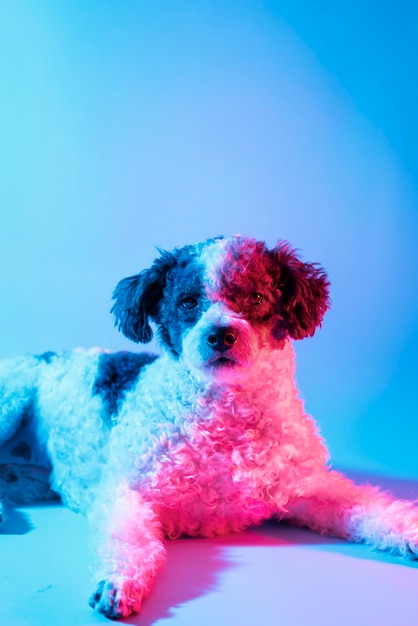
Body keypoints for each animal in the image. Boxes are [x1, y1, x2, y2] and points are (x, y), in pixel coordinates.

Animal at [0, 234, 418, 616]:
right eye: (188, 301)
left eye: (256, 298)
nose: (220, 334)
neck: (226, 423)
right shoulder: (127, 491)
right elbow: (130, 539)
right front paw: (119, 579)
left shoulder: (307, 487)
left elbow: (368, 504)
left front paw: (409, 530)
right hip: (13, 401)